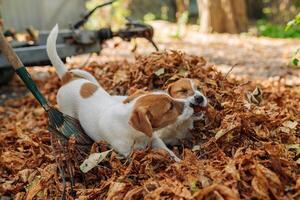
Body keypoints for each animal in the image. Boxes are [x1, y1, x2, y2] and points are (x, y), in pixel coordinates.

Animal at [46, 25, 192, 162]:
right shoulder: (128, 154)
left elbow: (169, 152)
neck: (136, 132)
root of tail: (67, 78)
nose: (191, 104)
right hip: (68, 112)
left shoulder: (155, 140)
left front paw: (179, 162)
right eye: (170, 107)